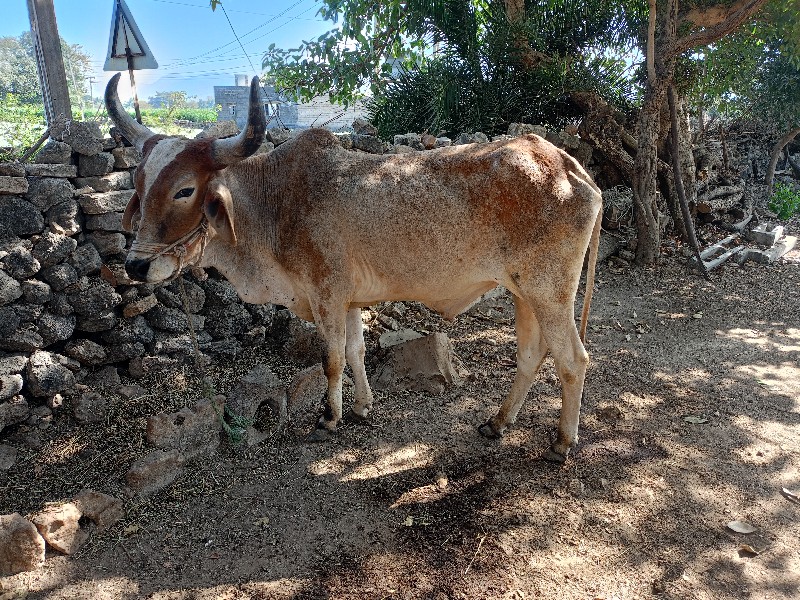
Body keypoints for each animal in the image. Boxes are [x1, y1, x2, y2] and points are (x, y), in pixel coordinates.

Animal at [108, 72, 608, 462]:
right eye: (139, 183)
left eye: (185, 190)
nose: (136, 265)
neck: (272, 203)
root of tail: (571, 166)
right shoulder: (348, 300)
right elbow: (355, 353)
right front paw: (363, 407)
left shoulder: (326, 294)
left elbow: (331, 359)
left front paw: (329, 418)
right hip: (524, 293)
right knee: (531, 356)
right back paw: (498, 422)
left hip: (549, 292)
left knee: (573, 359)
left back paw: (562, 442)